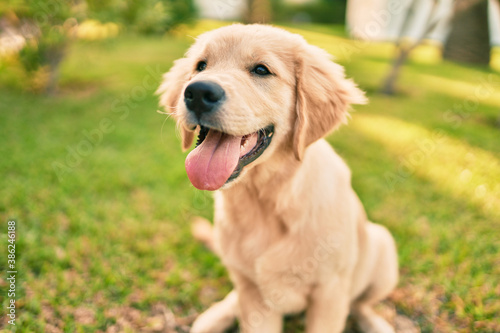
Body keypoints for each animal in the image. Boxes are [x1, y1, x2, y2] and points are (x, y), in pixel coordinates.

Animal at [158, 24, 400, 332]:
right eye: (200, 66)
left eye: (261, 70)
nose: (198, 92)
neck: (268, 198)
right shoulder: (256, 296)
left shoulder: (330, 291)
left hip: (383, 249)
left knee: (360, 304)